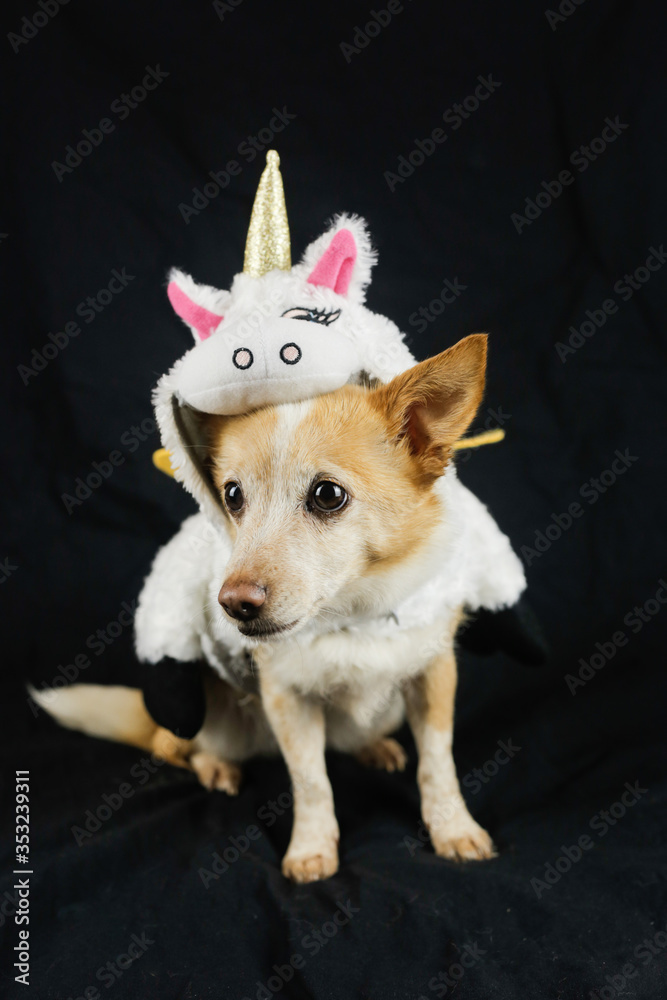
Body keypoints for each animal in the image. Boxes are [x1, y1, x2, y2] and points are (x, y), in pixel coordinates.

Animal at [35, 336, 520, 884]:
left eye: (328, 494)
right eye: (232, 496)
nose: (232, 604)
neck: (354, 617)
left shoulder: (434, 674)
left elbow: (437, 763)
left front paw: (452, 829)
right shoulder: (288, 699)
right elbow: (312, 780)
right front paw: (311, 848)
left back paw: (374, 747)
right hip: (206, 718)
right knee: (172, 746)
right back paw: (215, 766)